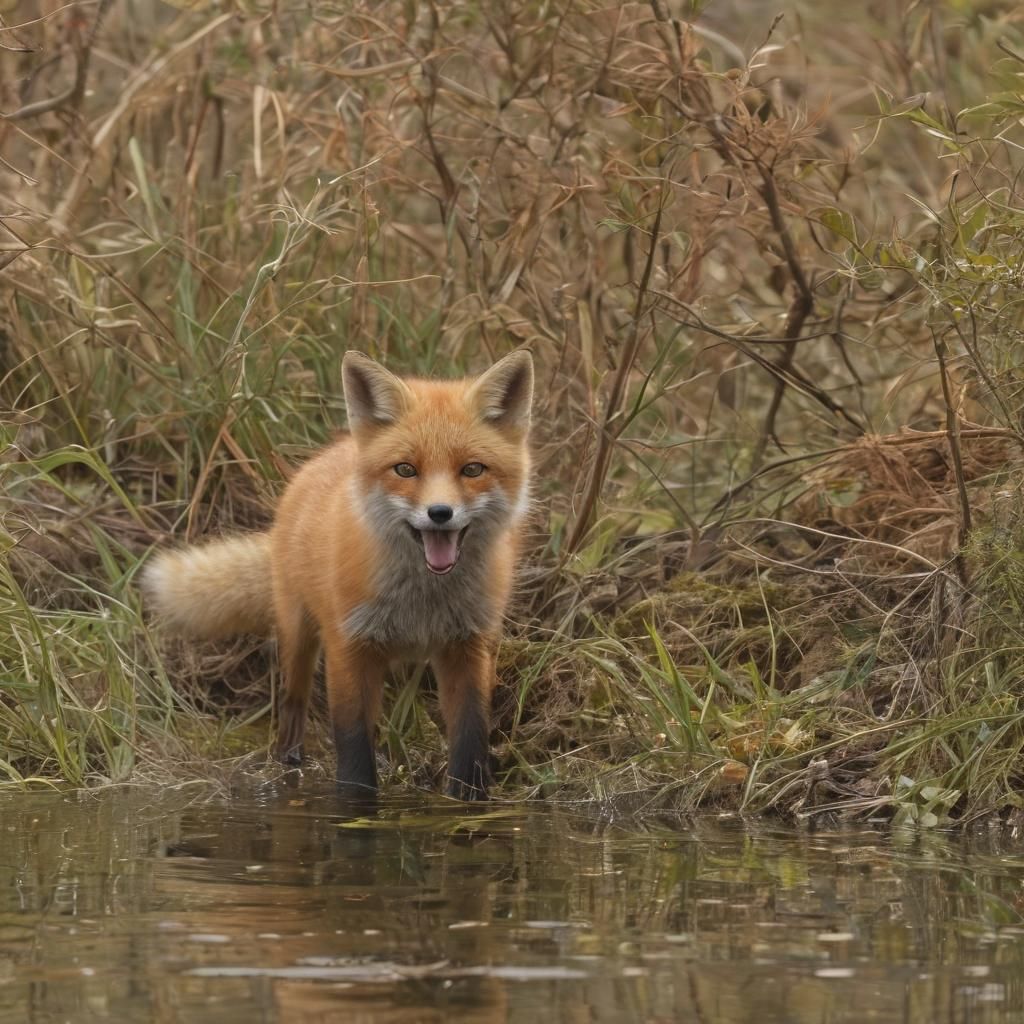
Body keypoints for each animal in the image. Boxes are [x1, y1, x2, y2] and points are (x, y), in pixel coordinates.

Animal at [143, 349, 534, 800]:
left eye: (472, 470)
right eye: (405, 470)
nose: (440, 513)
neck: (423, 602)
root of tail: (328, 455)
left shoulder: (469, 647)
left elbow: (471, 739)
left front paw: (469, 800)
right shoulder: (349, 645)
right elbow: (353, 748)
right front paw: (355, 804)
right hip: (298, 638)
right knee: (292, 706)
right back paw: (289, 763)